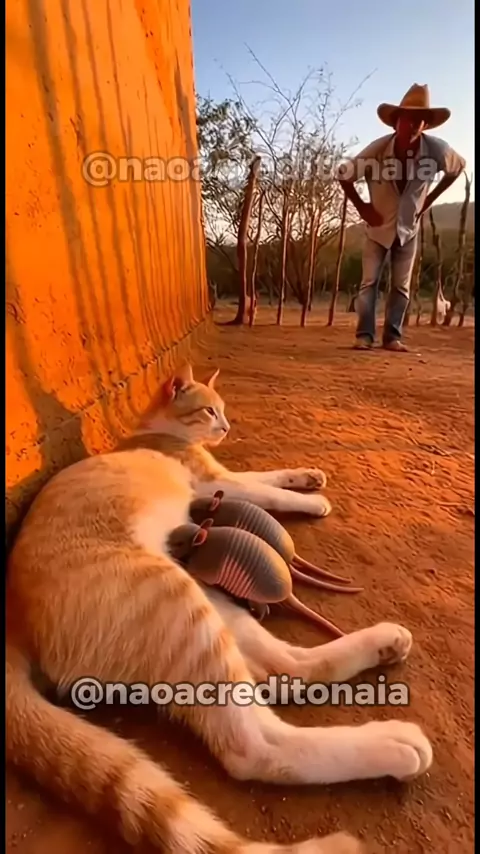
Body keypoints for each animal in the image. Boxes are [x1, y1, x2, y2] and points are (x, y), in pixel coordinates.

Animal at [6, 362, 433, 854]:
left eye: (223, 410)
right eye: (210, 410)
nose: (225, 427)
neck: (156, 430)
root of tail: (13, 619)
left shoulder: (224, 474)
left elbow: (266, 474)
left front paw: (306, 476)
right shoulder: (213, 482)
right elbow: (263, 490)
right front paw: (309, 499)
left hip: (206, 602)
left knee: (281, 671)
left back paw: (384, 645)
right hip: (175, 601)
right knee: (253, 746)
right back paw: (392, 746)